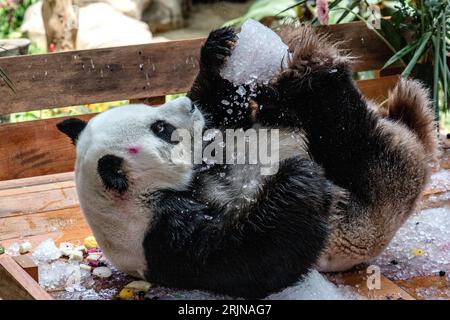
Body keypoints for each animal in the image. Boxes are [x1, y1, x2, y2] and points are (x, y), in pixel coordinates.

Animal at [57, 24, 440, 298]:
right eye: (162, 128)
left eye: (153, 116)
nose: (188, 105)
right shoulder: (163, 239)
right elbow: (260, 257)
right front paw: (300, 176)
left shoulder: (209, 147)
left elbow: (225, 118)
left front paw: (217, 51)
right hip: (376, 196)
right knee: (351, 135)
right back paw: (315, 67)